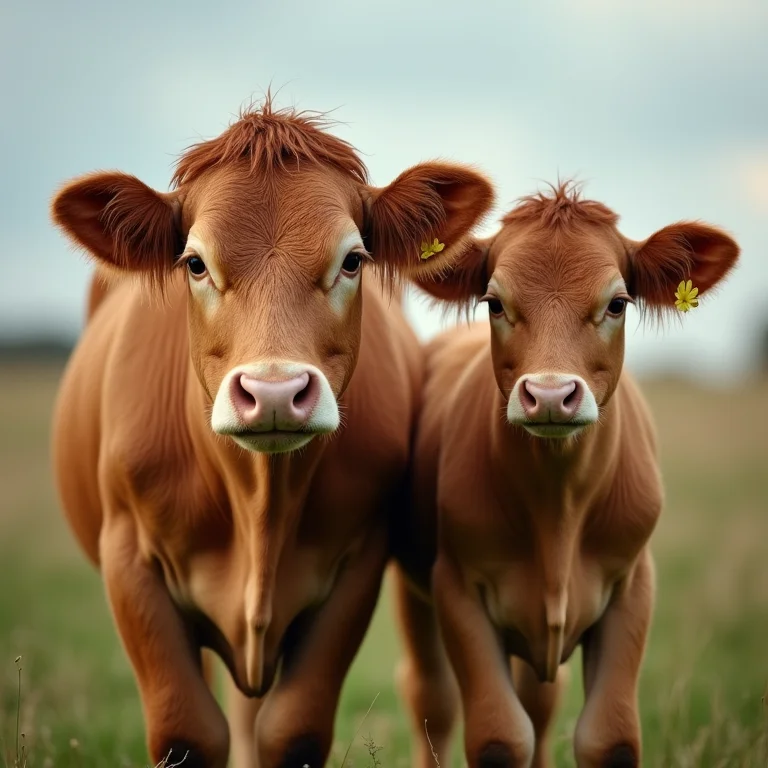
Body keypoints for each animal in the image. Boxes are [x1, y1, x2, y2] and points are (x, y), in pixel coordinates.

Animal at [49, 99, 495, 768]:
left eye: (352, 260)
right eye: (195, 263)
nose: (275, 392)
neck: (259, 501)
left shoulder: (357, 562)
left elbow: (292, 730)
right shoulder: (127, 558)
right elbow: (186, 732)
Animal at [392, 182, 739, 768]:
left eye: (617, 303)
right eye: (495, 302)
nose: (551, 395)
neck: (560, 505)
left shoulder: (632, 586)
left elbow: (608, 736)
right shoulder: (456, 587)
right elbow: (499, 735)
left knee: (539, 703)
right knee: (430, 700)